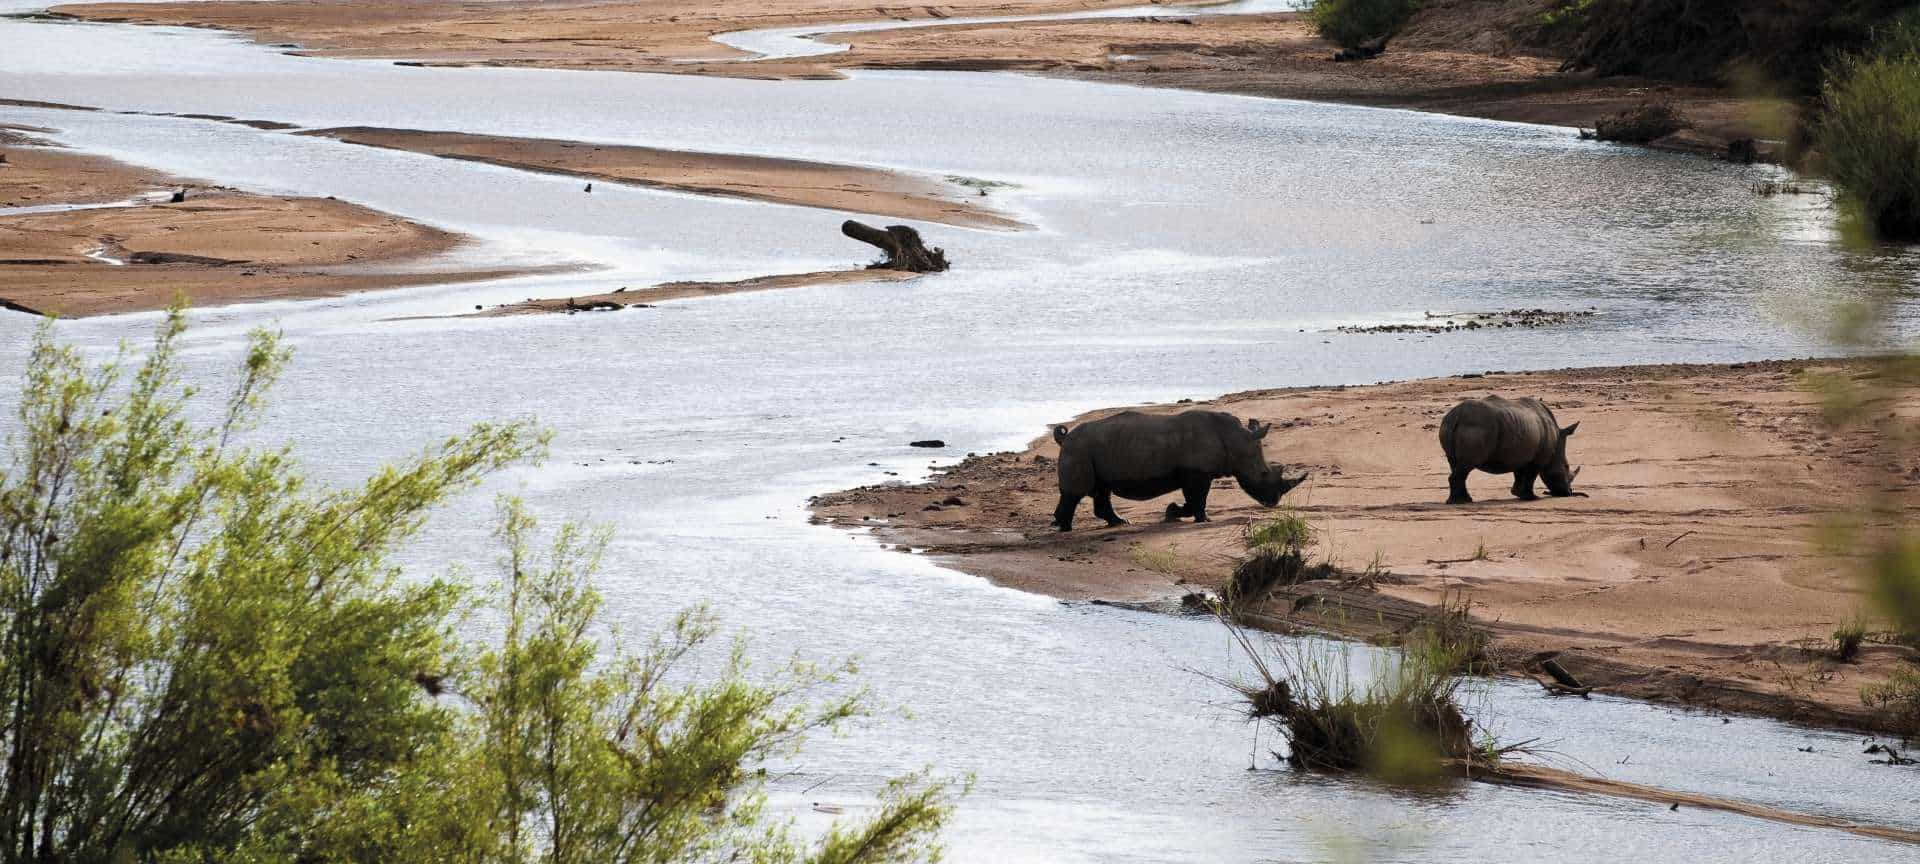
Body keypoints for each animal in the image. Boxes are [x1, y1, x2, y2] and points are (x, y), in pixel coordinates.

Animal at [1052, 410, 1305, 529]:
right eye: (1263, 474)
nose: (1273, 502)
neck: (1236, 440)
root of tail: (1064, 439)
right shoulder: (1197, 473)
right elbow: (1198, 499)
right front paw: (1203, 519)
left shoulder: (1194, 474)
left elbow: (1193, 500)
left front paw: (1172, 513)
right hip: (1079, 449)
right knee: (1076, 493)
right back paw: (1065, 529)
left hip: (1091, 450)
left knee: (1103, 489)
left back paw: (1120, 523)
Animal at [1436, 395, 1582, 503]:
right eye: (1566, 466)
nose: (1567, 493)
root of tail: (1456, 415)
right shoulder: (1538, 459)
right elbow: (1531, 476)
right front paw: (1531, 497)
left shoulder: (1521, 452)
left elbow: (1519, 473)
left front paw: (1517, 493)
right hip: (1477, 427)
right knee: (1467, 465)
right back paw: (1458, 502)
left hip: (1448, 425)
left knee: (1455, 464)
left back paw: (1465, 500)